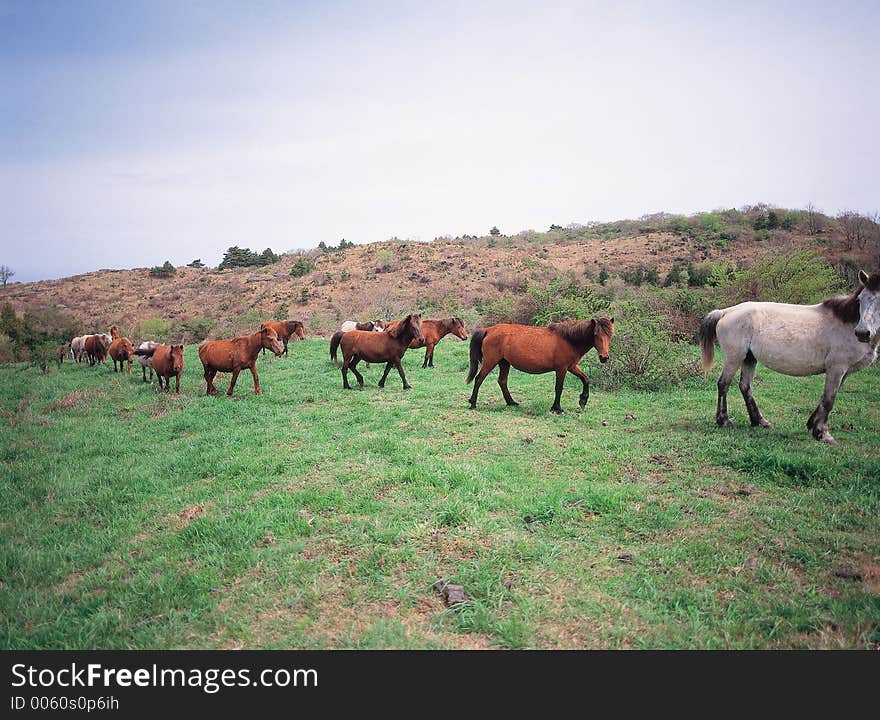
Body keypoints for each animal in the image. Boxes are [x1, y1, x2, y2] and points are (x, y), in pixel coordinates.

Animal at [464, 320, 616, 414]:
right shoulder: (562, 369)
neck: (568, 340)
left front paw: (583, 400)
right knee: (479, 379)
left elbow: (585, 379)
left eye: (610, 335)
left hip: (504, 362)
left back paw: (511, 402)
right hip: (491, 361)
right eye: (596, 334)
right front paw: (557, 408)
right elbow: (559, 388)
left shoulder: (572, 367)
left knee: (502, 381)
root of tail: (488, 330)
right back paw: (473, 403)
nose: (604, 357)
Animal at [700, 268, 880, 442]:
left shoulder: (843, 372)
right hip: (734, 357)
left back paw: (759, 421)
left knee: (745, 387)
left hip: (749, 358)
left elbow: (825, 398)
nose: (862, 333)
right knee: (723, 384)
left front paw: (812, 425)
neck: (847, 323)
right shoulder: (837, 368)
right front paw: (823, 434)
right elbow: (829, 399)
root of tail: (726, 311)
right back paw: (724, 420)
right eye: (860, 300)